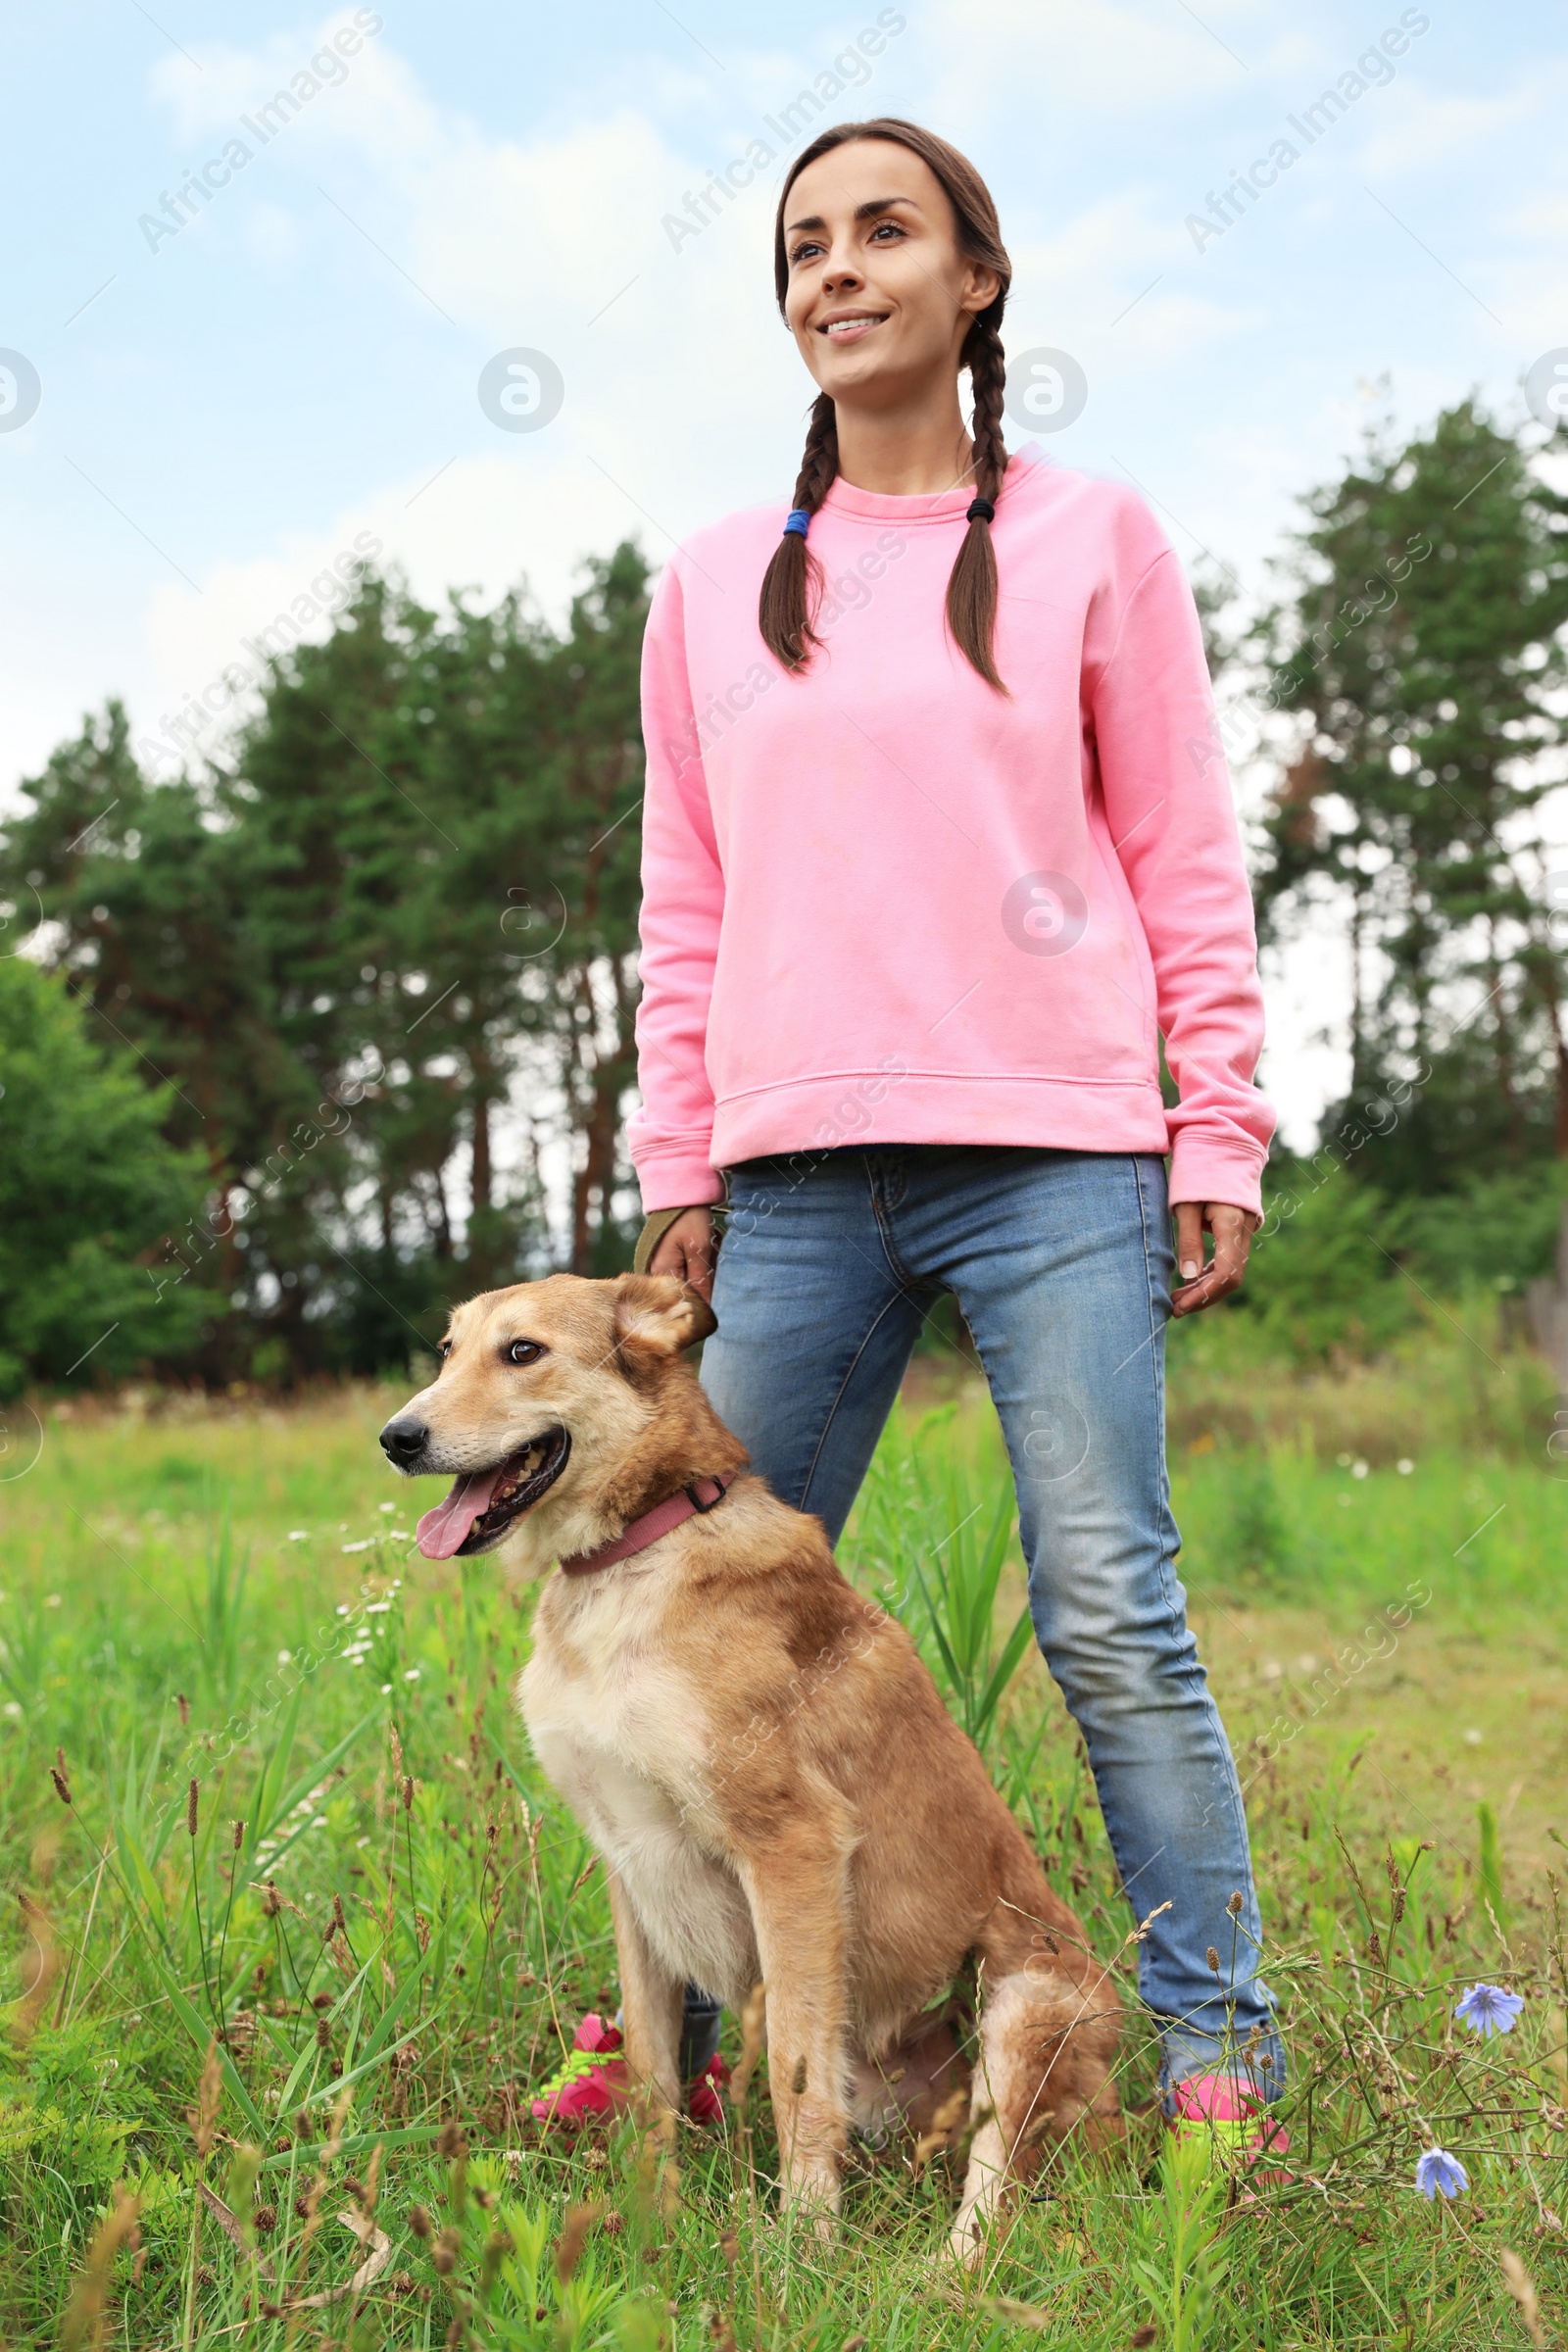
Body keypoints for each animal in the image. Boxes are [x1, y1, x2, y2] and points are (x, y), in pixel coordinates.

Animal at [378, 1279, 1114, 2248]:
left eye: (523, 1352)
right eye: (447, 1350)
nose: (396, 1438)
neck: (629, 1557)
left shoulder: (793, 1847)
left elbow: (795, 2072)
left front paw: (801, 2245)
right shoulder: (630, 1864)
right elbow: (652, 2066)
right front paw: (651, 2217)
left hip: (1029, 2003)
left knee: (993, 2193)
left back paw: (939, 2268)